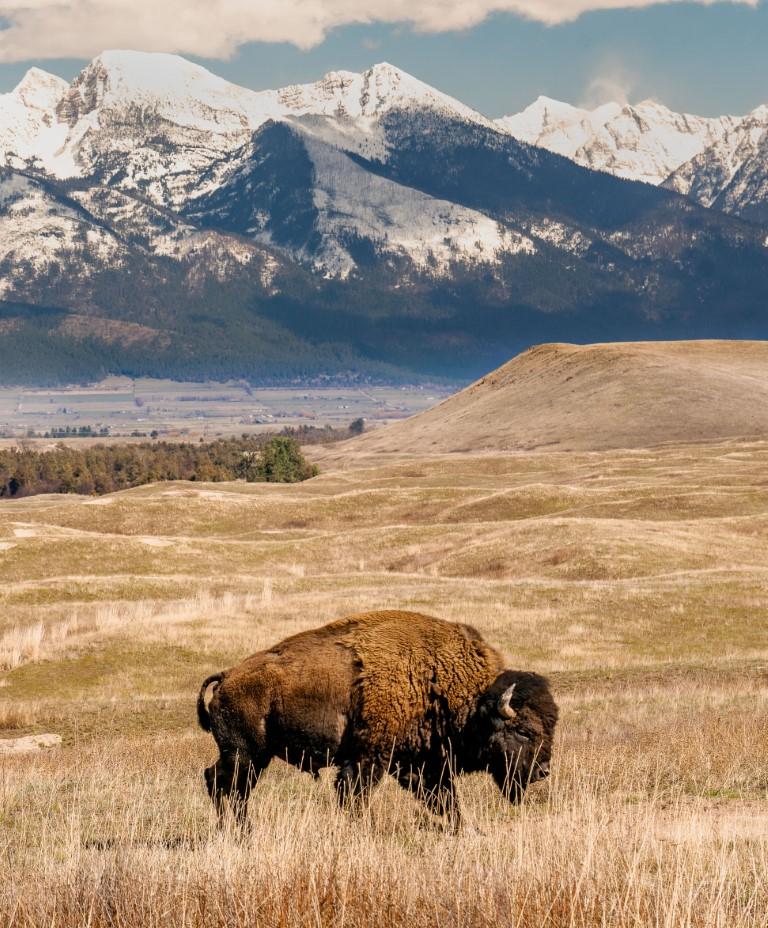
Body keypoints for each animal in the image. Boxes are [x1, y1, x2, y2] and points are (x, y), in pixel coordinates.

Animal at [198, 608, 560, 828]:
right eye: (524, 731)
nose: (543, 771)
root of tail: (227, 676)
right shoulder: (369, 759)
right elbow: (355, 797)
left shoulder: (422, 764)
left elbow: (446, 801)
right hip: (245, 754)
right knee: (225, 785)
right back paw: (238, 831)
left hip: (252, 757)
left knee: (224, 783)